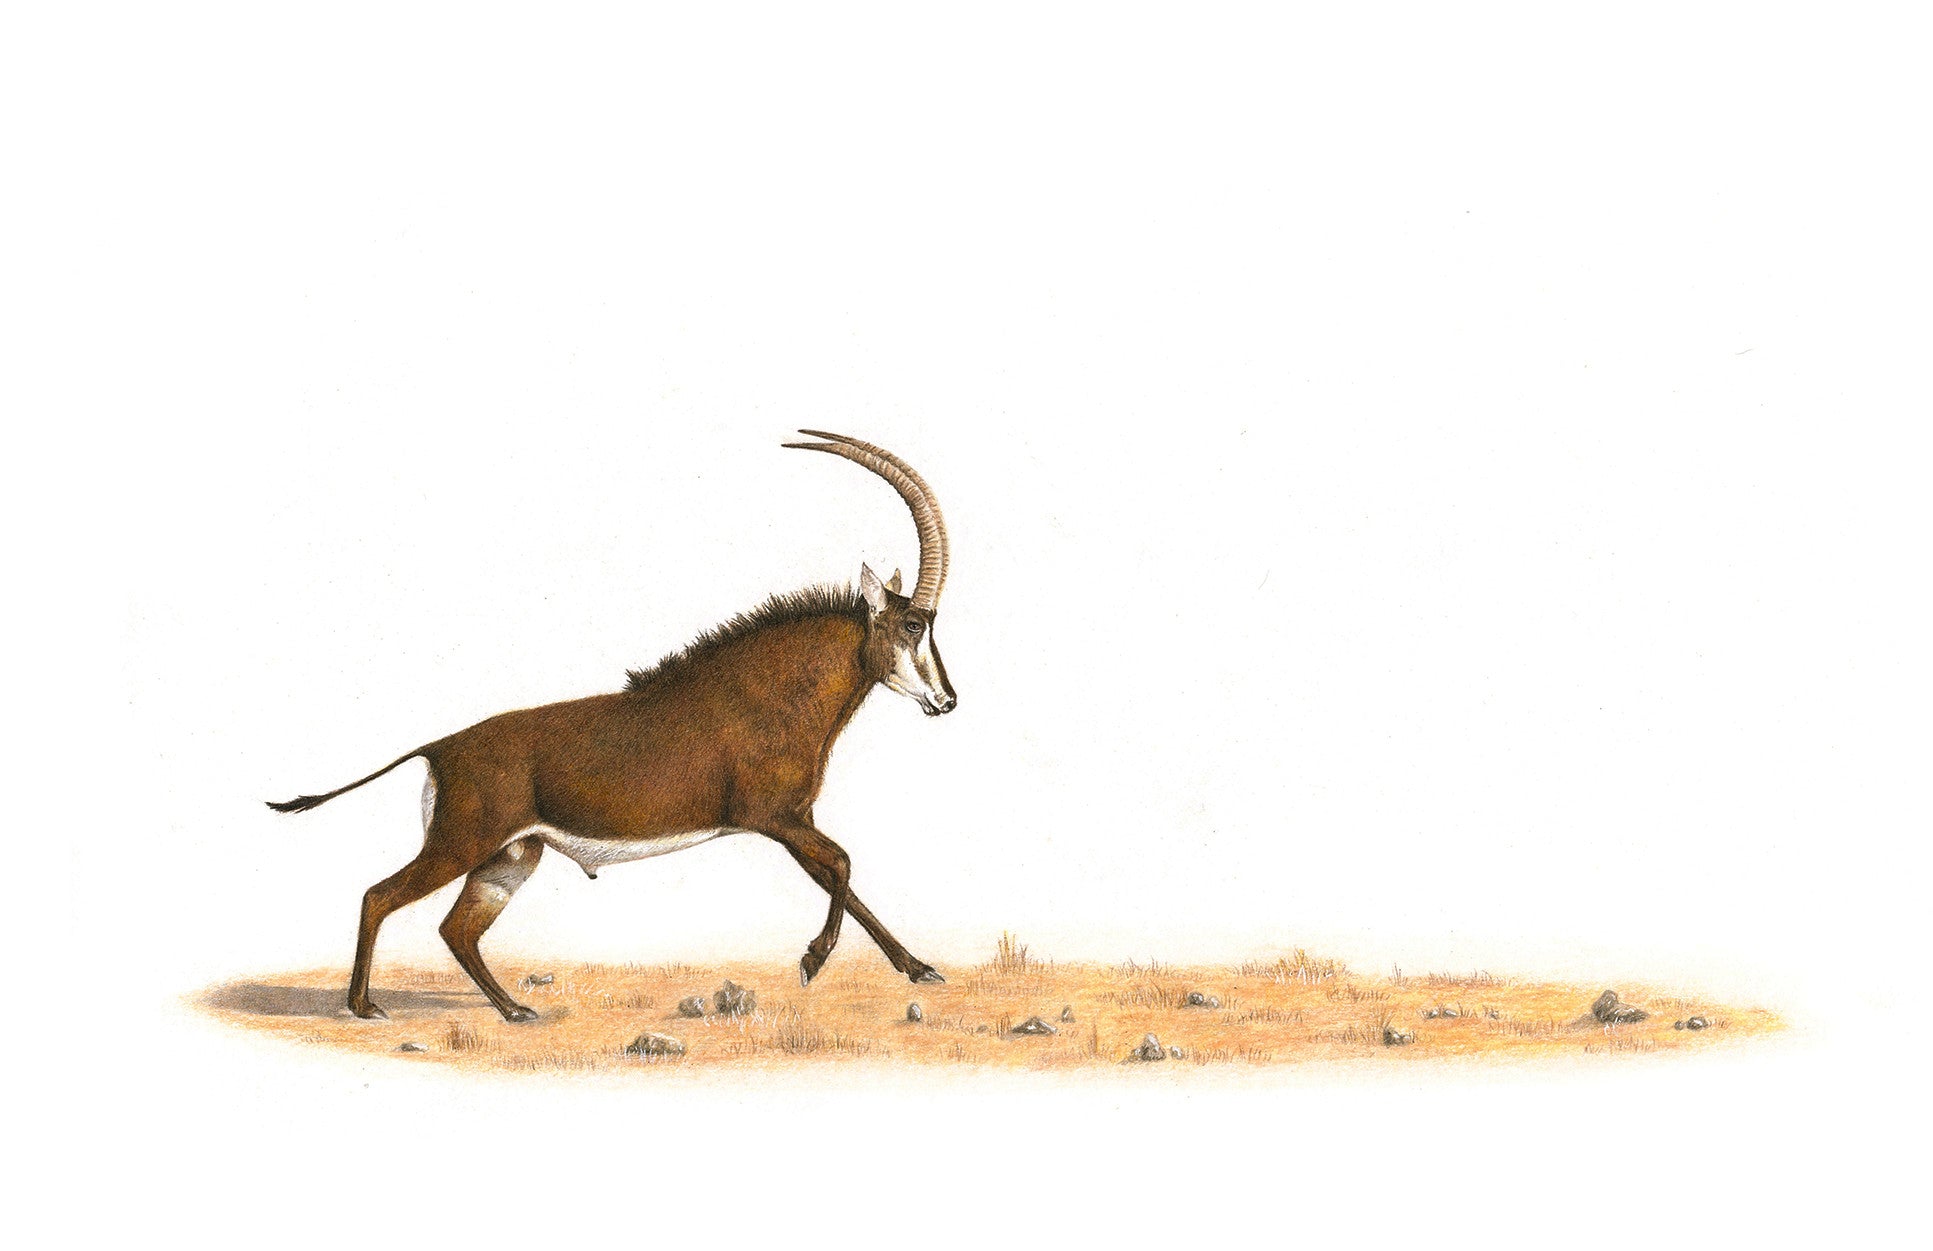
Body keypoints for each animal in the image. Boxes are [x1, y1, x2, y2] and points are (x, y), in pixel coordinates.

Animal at [268, 431, 959, 1022]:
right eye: (910, 625)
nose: (947, 702)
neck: (768, 693)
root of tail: (441, 747)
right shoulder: (774, 818)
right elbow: (843, 864)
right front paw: (813, 962)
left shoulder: (794, 822)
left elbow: (842, 877)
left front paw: (918, 968)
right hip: (461, 844)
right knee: (379, 896)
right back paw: (365, 1006)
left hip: (509, 856)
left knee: (455, 928)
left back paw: (515, 1010)